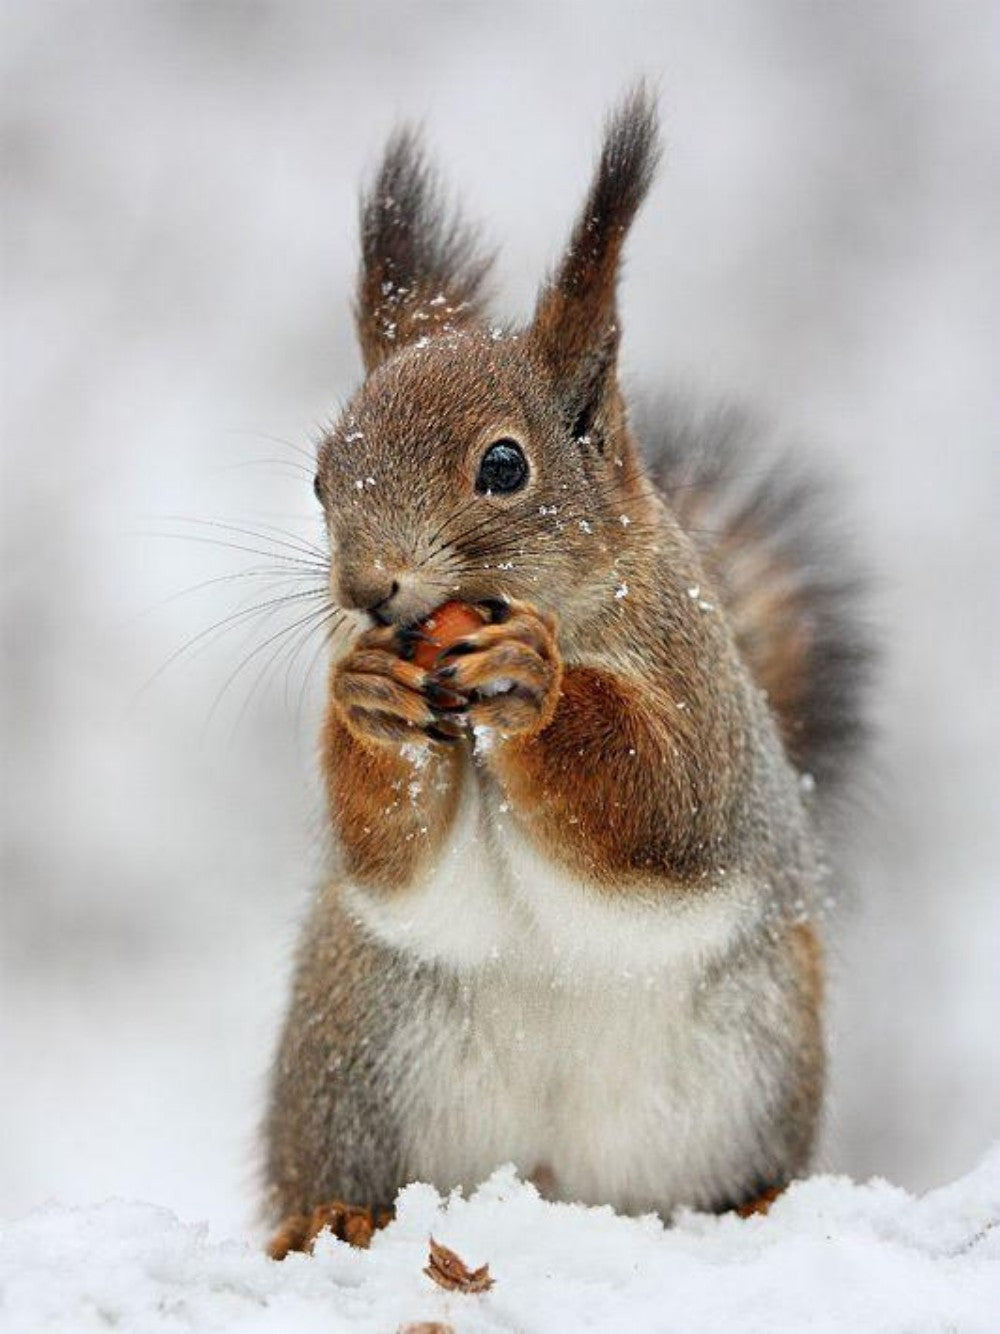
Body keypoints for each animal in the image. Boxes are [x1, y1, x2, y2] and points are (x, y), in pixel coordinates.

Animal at [262, 85, 871, 1256]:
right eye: (319, 478)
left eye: (505, 464)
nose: (368, 590)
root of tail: (557, 1184)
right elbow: (390, 853)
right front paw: (365, 703)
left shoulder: (700, 693)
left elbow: (662, 802)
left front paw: (535, 688)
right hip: (354, 1050)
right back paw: (333, 1216)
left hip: (754, 1053)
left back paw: (756, 1201)